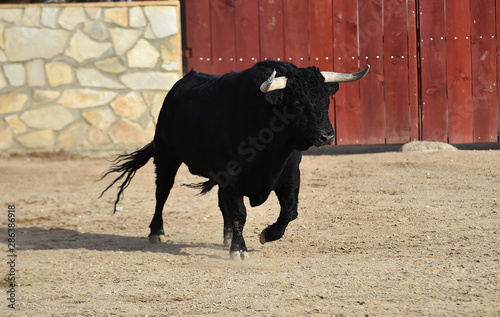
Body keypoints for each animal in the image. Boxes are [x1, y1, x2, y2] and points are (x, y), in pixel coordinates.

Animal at [100, 60, 368, 258]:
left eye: (326, 99)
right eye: (298, 102)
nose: (327, 136)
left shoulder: (290, 174)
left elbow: (289, 211)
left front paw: (266, 235)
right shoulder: (232, 175)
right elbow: (241, 212)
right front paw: (239, 250)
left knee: (221, 203)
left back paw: (226, 235)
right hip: (167, 155)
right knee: (162, 192)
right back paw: (157, 232)